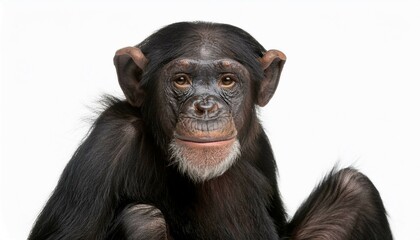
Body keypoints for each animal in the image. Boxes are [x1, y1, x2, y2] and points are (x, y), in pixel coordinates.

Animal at [27, 21, 392, 239]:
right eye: (181, 80)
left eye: (227, 80)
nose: (205, 106)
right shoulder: (107, 143)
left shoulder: (259, 143)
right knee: (143, 219)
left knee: (354, 189)